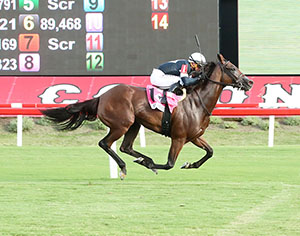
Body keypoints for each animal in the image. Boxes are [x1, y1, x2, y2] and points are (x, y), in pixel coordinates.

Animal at [41, 54, 253, 179]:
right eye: (231, 68)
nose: (249, 82)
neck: (197, 101)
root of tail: (102, 96)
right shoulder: (179, 137)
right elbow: (169, 164)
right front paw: (151, 163)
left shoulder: (194, 136)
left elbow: (210, 152)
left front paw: (190, 164)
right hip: (122, 124)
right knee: (105, 143)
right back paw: (126, 167)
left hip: (134, 124)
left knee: (125, 147)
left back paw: (140, 160)